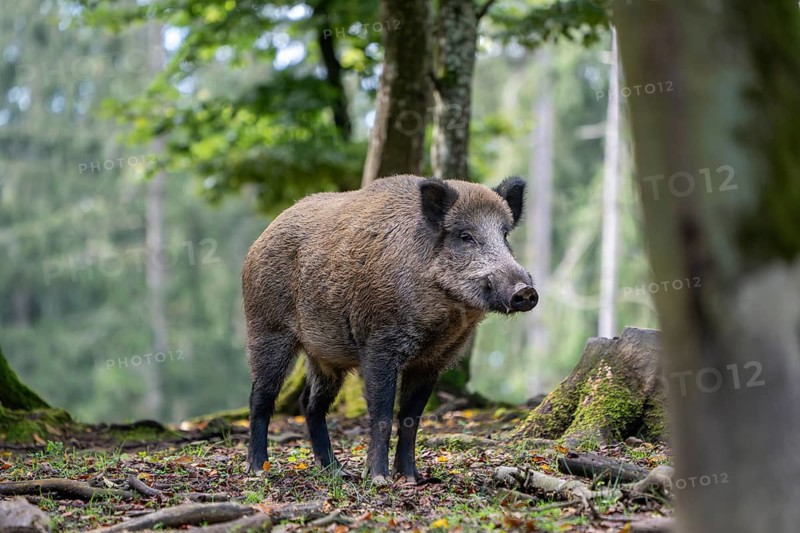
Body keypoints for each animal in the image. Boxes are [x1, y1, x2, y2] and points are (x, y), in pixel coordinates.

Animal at [242, 175, 538, 484]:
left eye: (505, 236)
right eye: (465, 236)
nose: (525, 290)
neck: (442, 318)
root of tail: (263, 236)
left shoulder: (432, 361)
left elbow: (410, 419)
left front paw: (411, 478)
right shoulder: (379, 345)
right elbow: (382, 415)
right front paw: (380, 479)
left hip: (325, 356)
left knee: (310, 404)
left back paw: (337, 471)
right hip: (267, 328)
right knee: (261, 397)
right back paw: (258, 470)